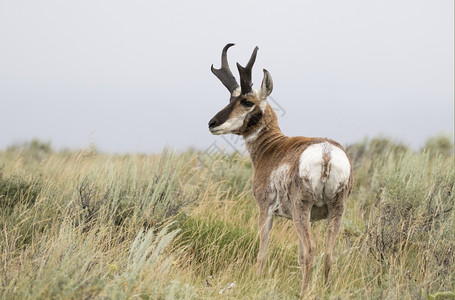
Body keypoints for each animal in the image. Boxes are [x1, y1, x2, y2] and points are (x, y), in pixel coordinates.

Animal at [208, 44, 354, 296]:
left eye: (247, 101)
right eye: (230, 98)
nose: (212, 123)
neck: (273, 146)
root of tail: (326, 152)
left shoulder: (265, 210)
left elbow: (262, 253)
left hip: (301, 209)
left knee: (311, 251)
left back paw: (303, 293)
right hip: (336, 210)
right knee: (328, 254)